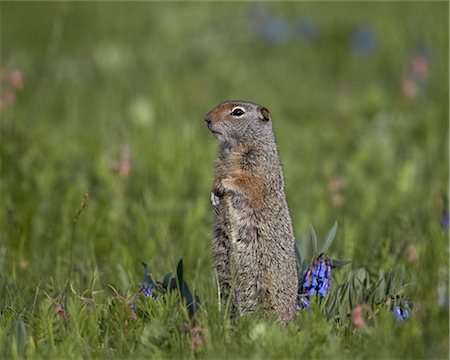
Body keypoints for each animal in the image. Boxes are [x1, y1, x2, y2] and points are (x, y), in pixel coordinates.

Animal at [205, 100, 298, 324]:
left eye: (238, 112)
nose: (206, 119)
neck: (233, 148)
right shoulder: (221, 164)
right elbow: (217, 178)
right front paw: (213, 196)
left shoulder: (258, 166)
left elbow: (245, 182)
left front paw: (224, 185)